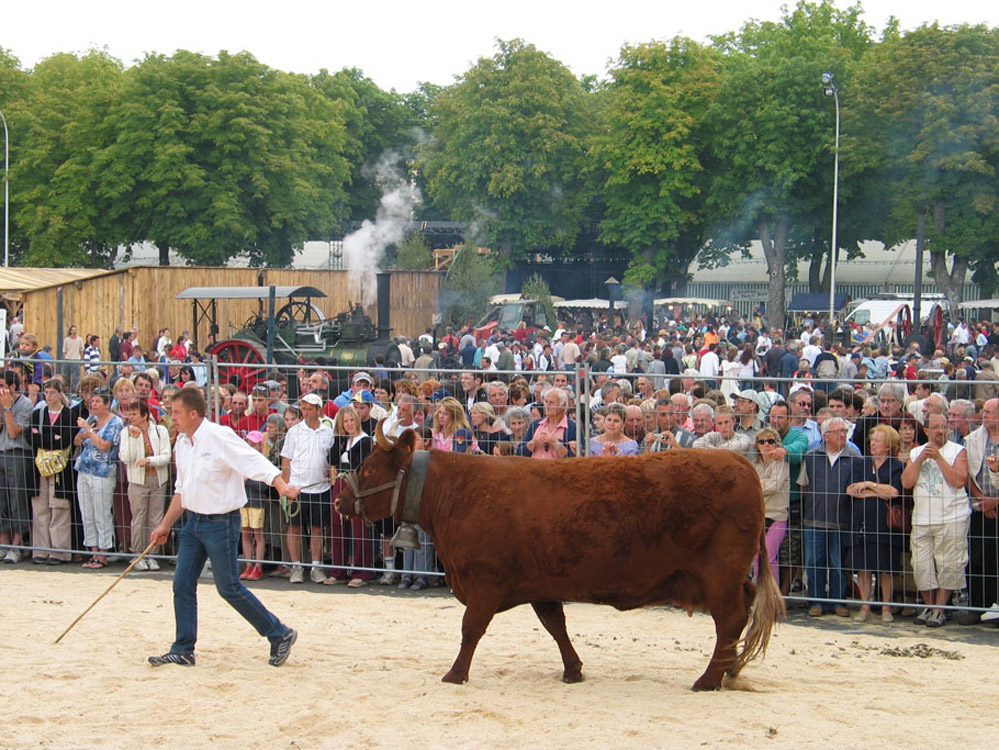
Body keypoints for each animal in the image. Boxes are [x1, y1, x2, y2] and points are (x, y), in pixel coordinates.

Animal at [340, 426, 784, 692]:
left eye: (367, 468)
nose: (341, 501)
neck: (459, 491)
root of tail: (740, 463)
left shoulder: (485, 580)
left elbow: (470, 629)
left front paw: (455, 674)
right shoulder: (540, 584)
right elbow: (556, 627)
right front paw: (573, 670)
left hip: (718, 574)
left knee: (730, 620)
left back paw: (709, 678)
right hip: (729, 576)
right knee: (742, 611)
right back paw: (731, 670)